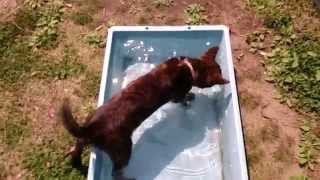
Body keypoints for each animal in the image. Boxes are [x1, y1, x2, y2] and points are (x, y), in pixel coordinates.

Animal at [60, 46, 229, 179]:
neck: (188, 67)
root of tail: (91, 128)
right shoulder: (178, 95)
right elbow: (184, 98)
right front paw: (191, 97)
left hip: (84, 134)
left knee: (76, 148)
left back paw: (72, 155)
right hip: (124, 149)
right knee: (116, 173)